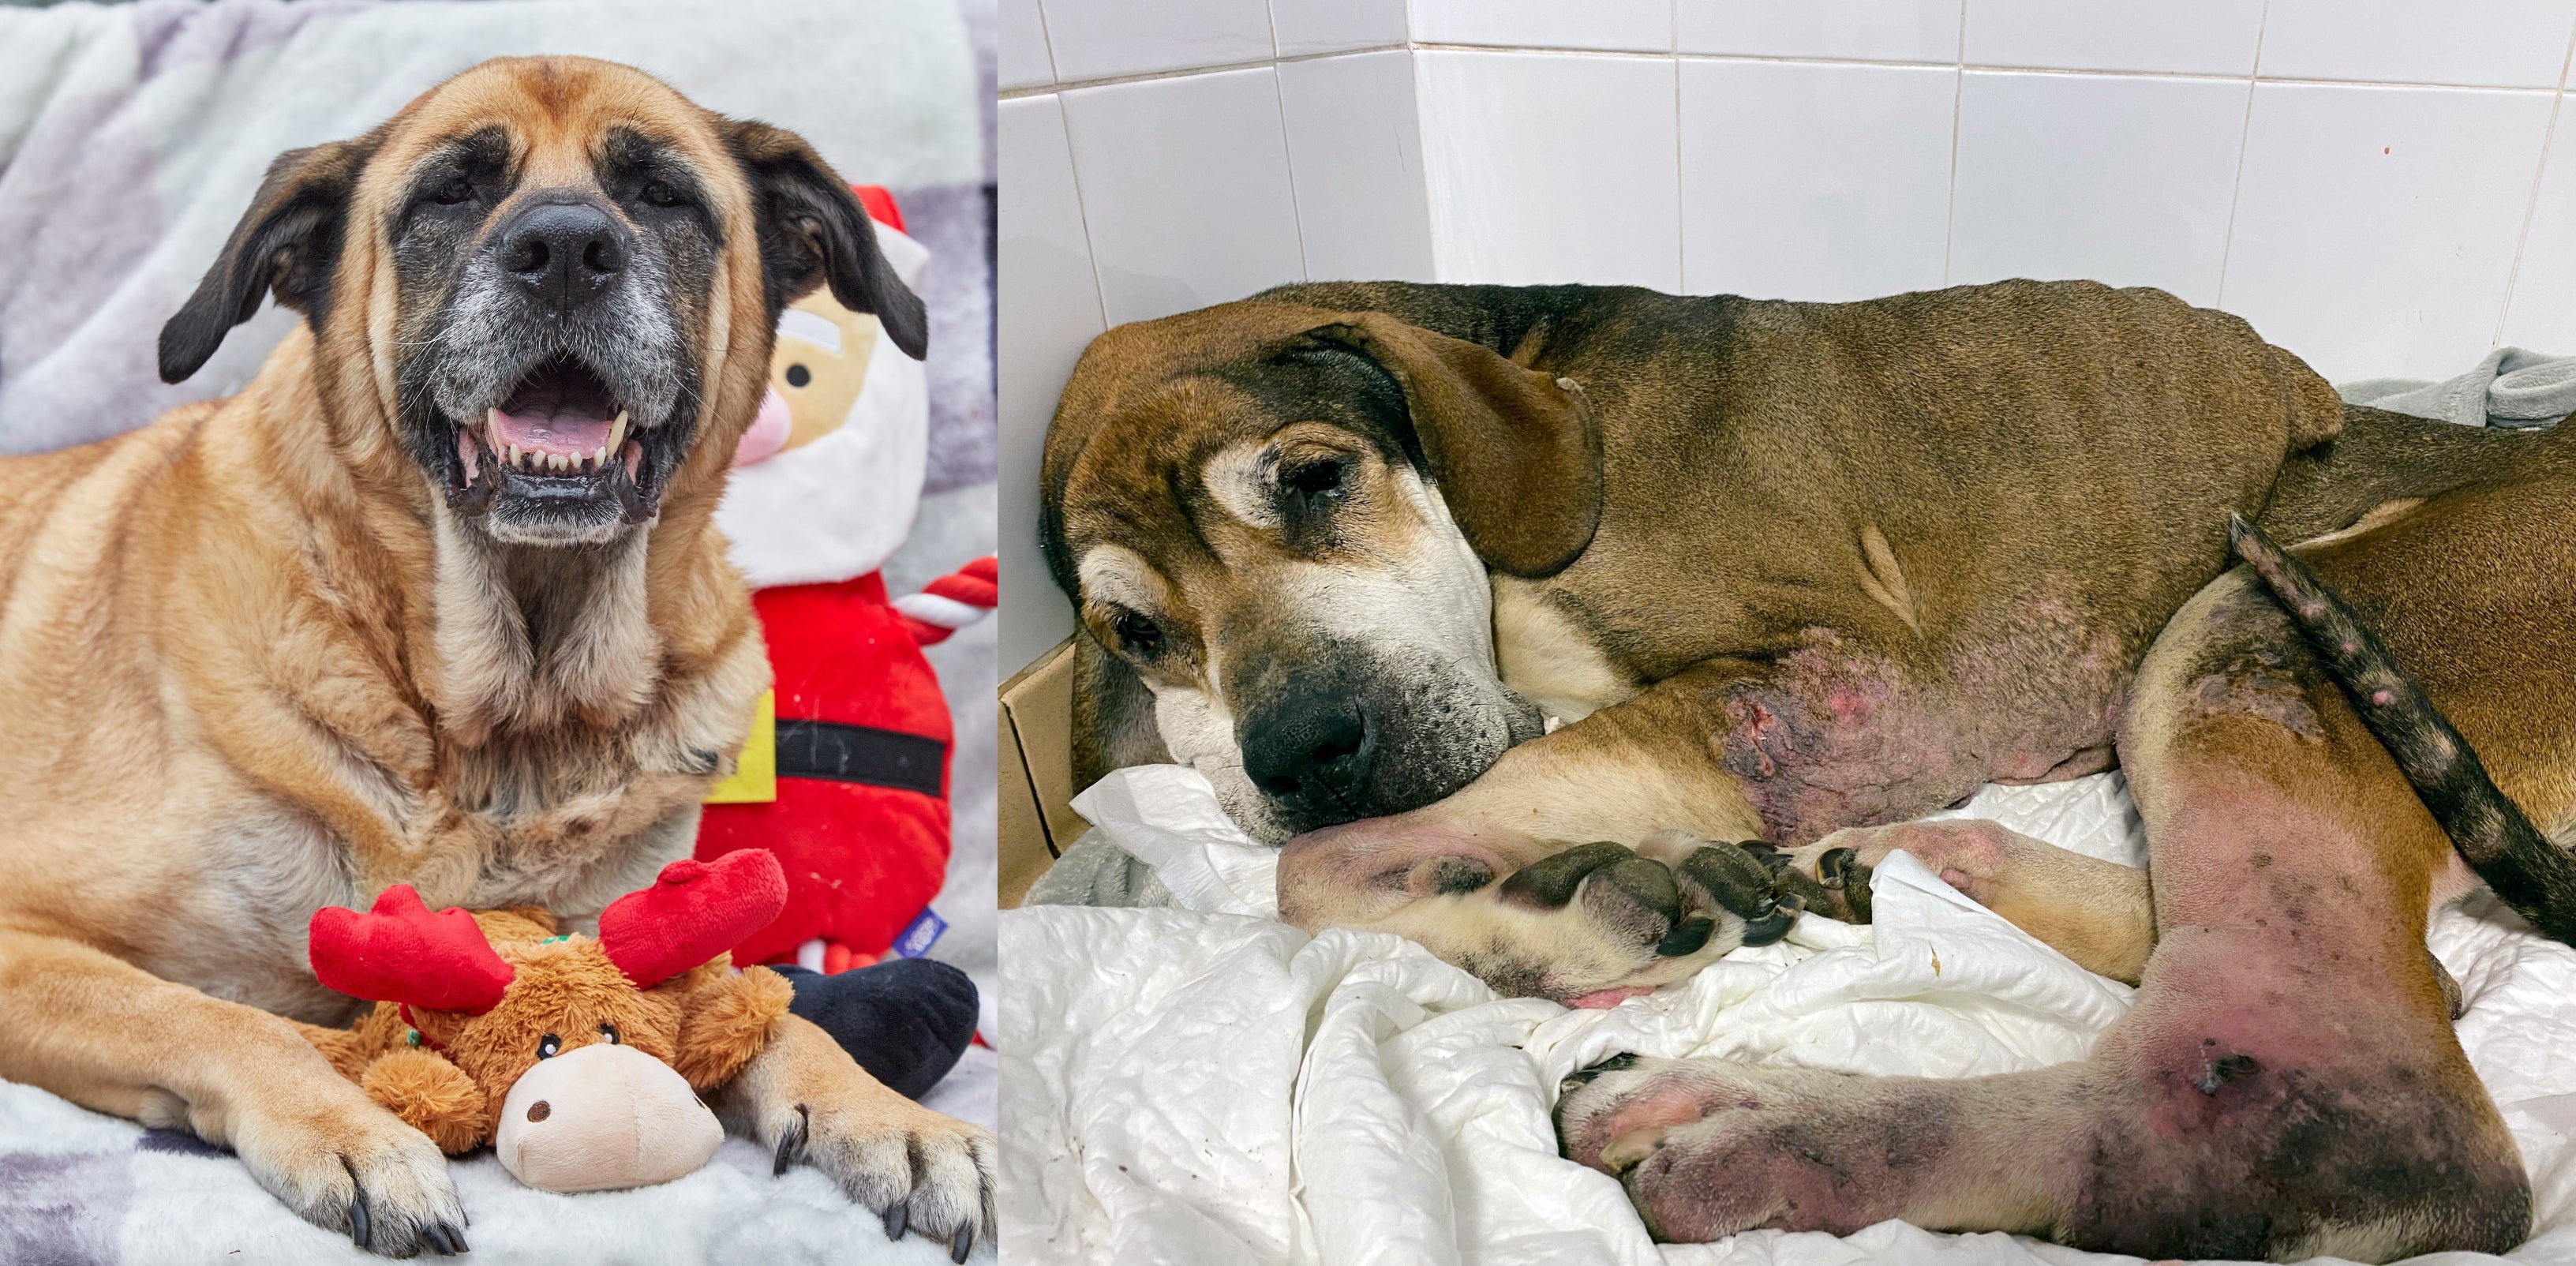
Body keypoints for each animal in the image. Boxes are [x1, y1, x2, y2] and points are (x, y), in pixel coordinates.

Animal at [0, 57, 994, 1258]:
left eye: (661, 195)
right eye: (451, 192)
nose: (566, 249)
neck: (505, 717)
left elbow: (775, 1011)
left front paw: (886, 1114)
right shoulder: (29, 935)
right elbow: (216, 1016)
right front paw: (356, 1136)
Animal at [1040, 279, 2576, 1266]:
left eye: (1312, 476)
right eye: (1133, 631)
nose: (1305, 751)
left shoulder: (1850, 685)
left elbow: (1313, 872)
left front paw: (1559, 908)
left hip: (2263, 620)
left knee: (2339, 1091)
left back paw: (1757, 1125)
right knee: (2375, 975)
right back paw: (1900, 868)